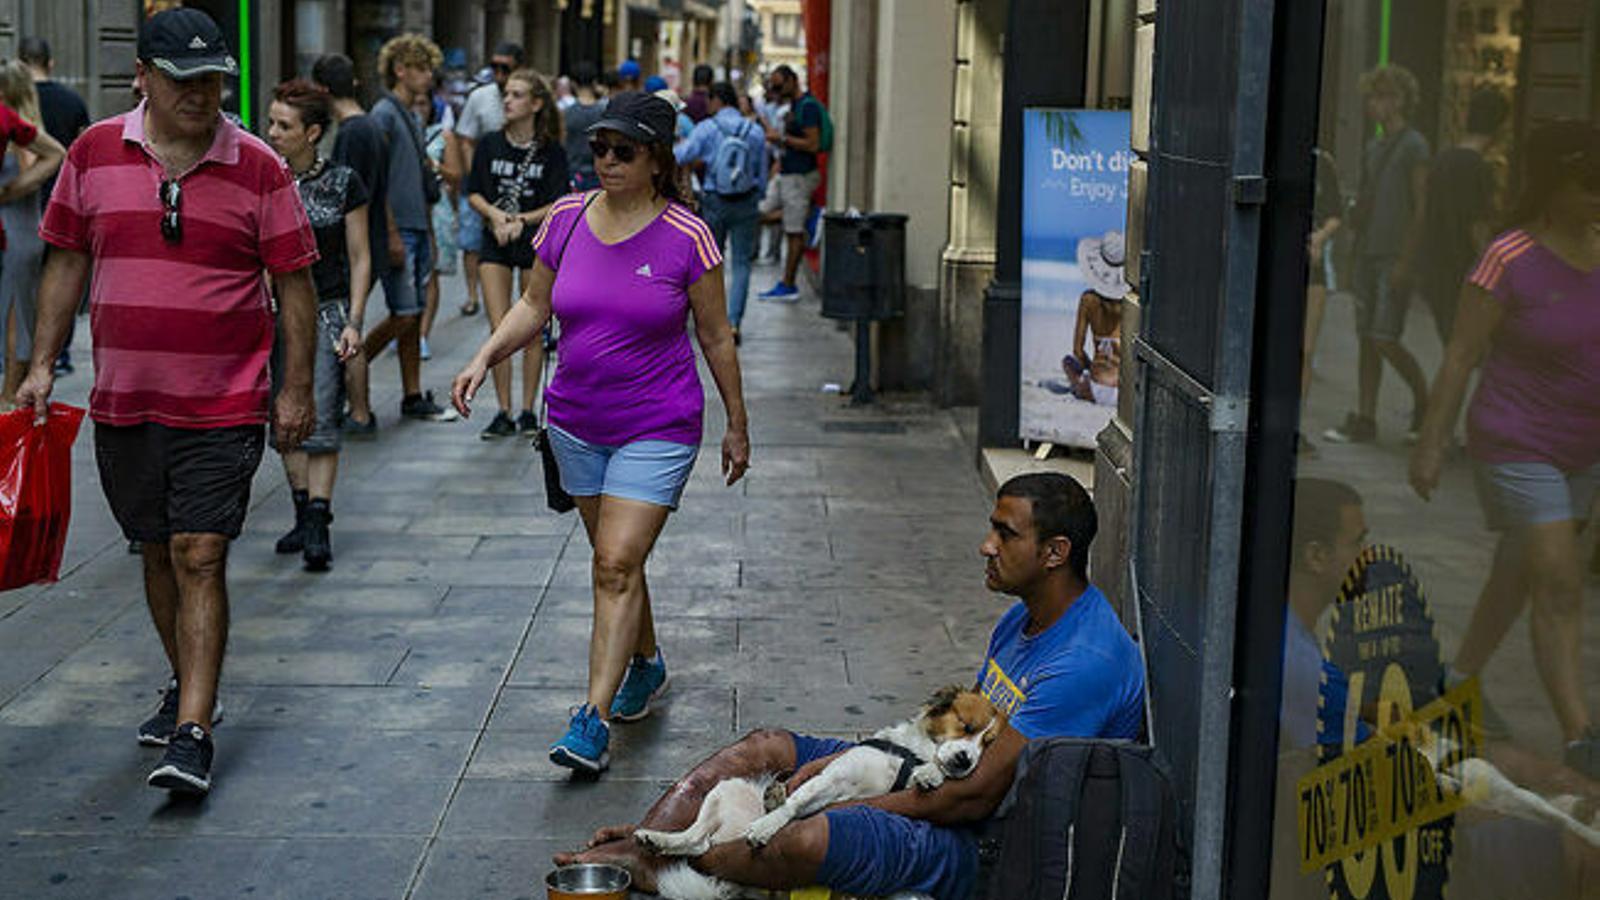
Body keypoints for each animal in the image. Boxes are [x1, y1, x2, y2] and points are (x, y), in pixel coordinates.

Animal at [633, 682, 998, 890]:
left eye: (989, 744)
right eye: (966, 726)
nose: (967, 760)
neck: (908, 755)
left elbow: (929, 773)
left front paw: (931, 775)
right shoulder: (830, 778)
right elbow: (795, 802)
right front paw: (767, 823)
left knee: (699, 846)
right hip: (727, 785)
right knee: (694, 837)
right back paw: (656, 838)